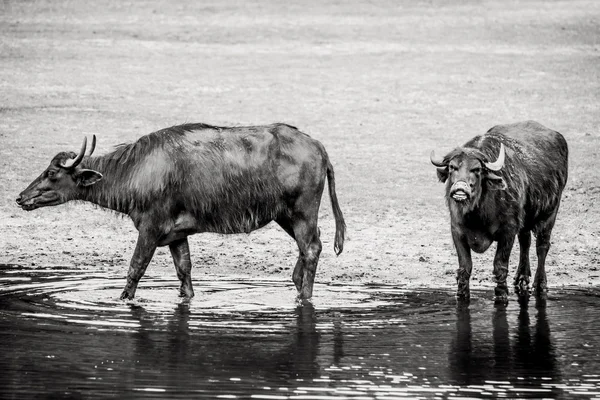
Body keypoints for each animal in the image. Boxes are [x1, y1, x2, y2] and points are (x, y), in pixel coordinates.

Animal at [16, 122, 346, 300]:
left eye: (52, 173)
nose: (21, 198)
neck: (136, 170)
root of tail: (318, 147)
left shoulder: (150, 227)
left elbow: (135, 268)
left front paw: (123, 299)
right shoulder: (177, 234)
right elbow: (184, 271)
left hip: (302, 211)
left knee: (312, 247)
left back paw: (304, 296)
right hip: (283, 215)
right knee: (309, 246)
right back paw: (296, 283)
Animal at [432, 120, 568, 302]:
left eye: (476, 169)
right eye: (452, 167)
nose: (460, 188)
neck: (477, 215)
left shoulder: (508, 231)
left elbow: (500, 266)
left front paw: (502, 294)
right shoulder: (457, 231)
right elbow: (465, 267)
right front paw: (461, 294)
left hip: (550, 213)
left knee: (542, 246)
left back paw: (540, 283)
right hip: (525, 220)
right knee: (525, 241)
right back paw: (521, 277)